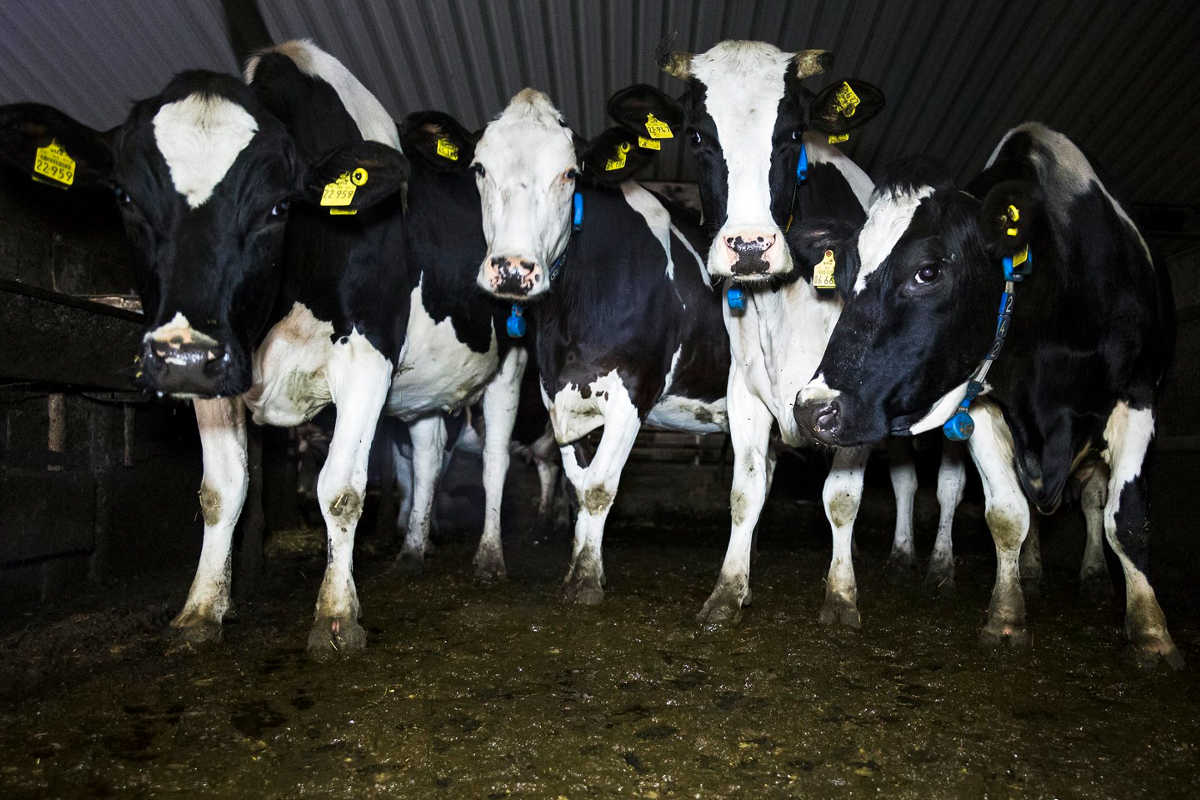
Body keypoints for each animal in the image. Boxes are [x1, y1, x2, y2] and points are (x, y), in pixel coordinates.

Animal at [0, 40, 527, 658]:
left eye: (277, 208)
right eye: (125, 198)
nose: (179, 356)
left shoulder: (368, 355)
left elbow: (341, 490)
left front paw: (336, 617)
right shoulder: (219, 366)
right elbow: (221, 491)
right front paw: (201, 610)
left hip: (511, 355)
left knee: (494, 460)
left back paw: (489, 558)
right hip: (421, 387)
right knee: (425, 453)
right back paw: (413, 552)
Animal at [606, 40, 967, 626]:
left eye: (793, 134)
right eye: (698, 137)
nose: (750, 246)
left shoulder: (851, 396)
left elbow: (841, 498)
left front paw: (840, 598)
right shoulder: (744, 390)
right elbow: (746, 492)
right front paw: (729, 590)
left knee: (950, 483)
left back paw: (940, 565)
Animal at [793, 123, 1182, 668]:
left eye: (928, 271)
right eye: (845, 274)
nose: (814, 410)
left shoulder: (1138, 395)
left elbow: (1125, 520)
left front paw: (1151, 633)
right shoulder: (983, 403)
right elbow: (1007, 515)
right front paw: (1006, 616)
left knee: (1093, 499)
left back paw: (1093, 577)